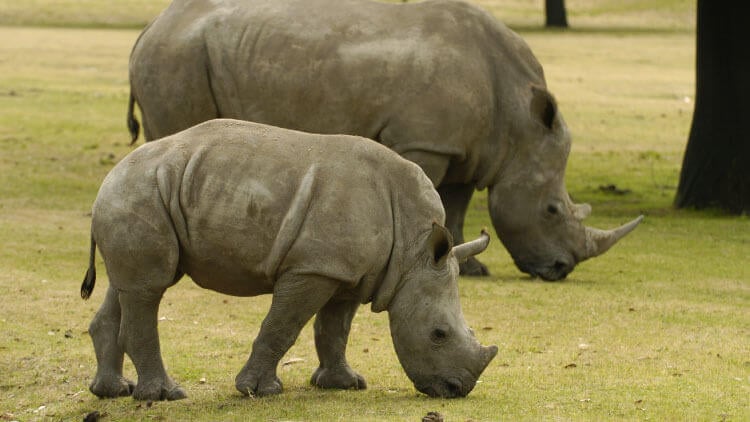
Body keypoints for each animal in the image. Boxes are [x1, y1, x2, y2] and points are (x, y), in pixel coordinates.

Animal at [81, 119, 497, 400]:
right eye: (439, 334)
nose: (457, 389)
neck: (414, 252)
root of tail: (108, 178)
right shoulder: (313, 268)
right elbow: (284, 326)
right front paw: (258, 391)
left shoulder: (347, 272)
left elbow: (335, 328)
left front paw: (344, 385)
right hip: (139, 192)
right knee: (150, 288)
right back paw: (166, 395)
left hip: (143, 194)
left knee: (131, 286)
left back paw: (113, 391)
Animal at [127, 0, 642, 280]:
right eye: (552, 210)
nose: (561, 269)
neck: (516, 122)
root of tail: (151, 26)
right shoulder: (425, 143)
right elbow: (436, 201)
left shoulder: (466, 151)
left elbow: (456, 205)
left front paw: (472, 267)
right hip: (178, 54)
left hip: (188, 51)